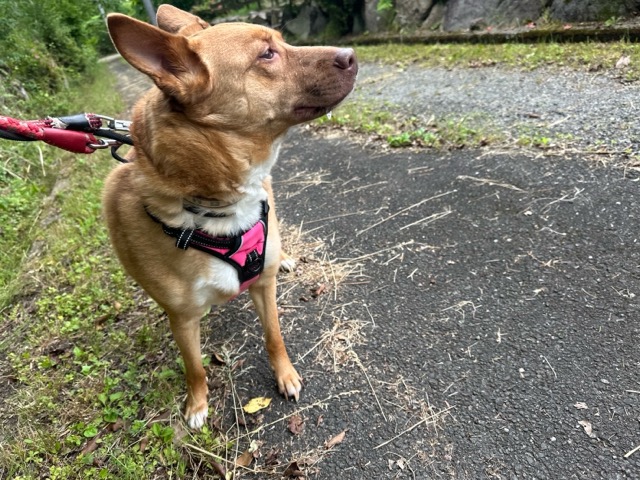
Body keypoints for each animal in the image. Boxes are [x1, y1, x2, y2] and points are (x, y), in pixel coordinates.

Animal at [102, 4, 357, 429]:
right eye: (267, 55)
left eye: (282, 41)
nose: (352, 55)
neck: (214, 208)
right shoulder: (182, 319)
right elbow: (194, 367)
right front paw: (197, 405)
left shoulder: (263, 285)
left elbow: (274, 336)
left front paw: (285, 375)